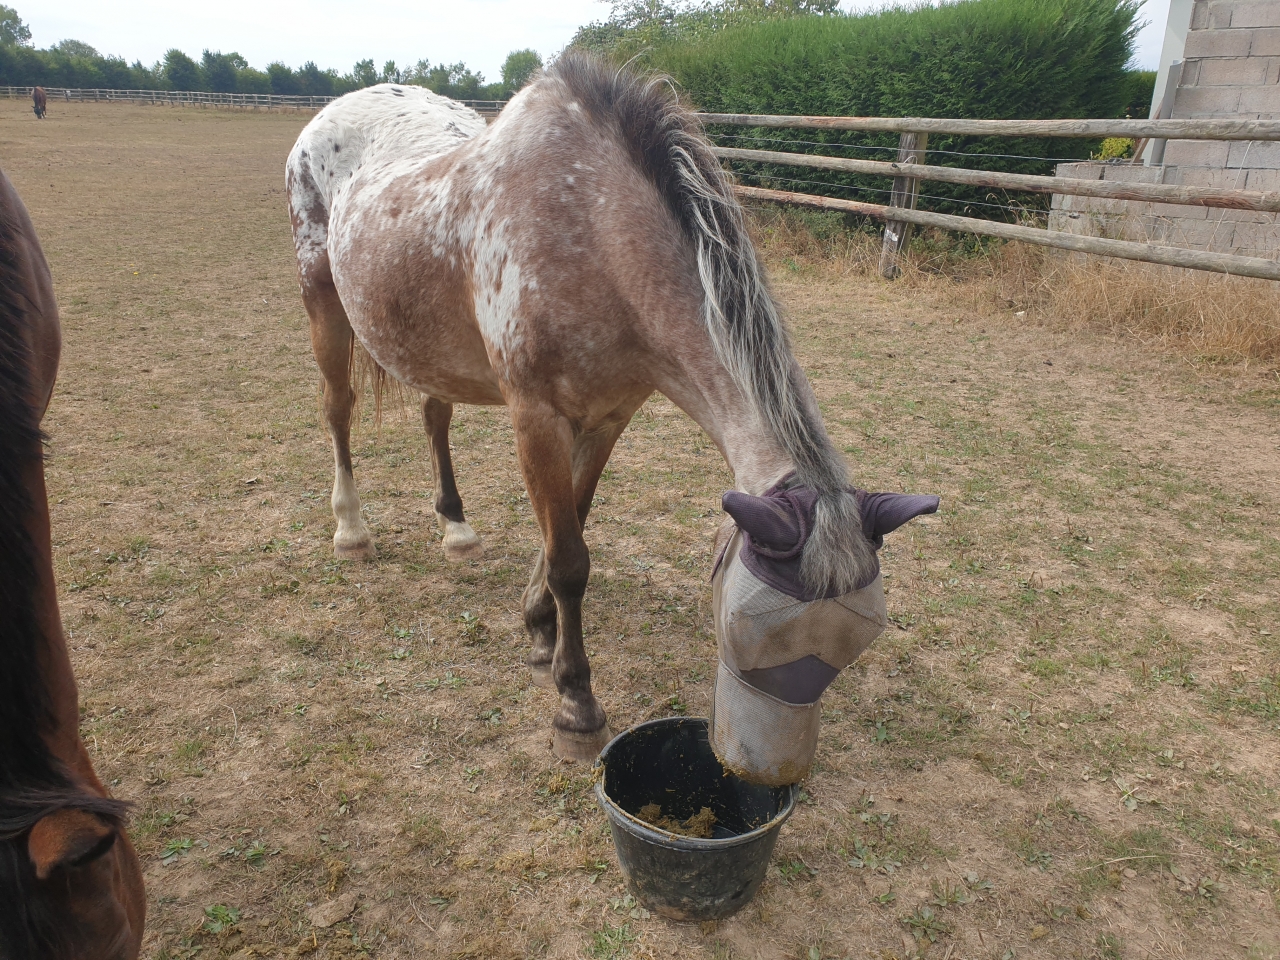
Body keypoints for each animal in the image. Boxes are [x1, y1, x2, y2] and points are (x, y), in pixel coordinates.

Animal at [287, 52, 927, 769]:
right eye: (749, 634)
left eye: (857, 644)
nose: (763, 774)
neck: (590, 228)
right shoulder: (536, 417)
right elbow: (569, 559)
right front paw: (575, 704)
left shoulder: (609, 419)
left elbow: (570, 526)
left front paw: (539, 628)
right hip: (322, 299)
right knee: (337, 410)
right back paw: (351, 530)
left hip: (429, 344)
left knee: (435, 416)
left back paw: (456, 528)